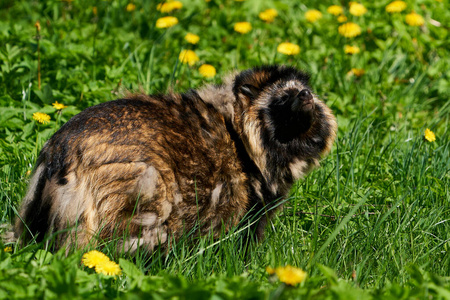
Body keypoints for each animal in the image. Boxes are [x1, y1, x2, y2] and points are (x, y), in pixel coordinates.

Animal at [14, 65, 336, 253]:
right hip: (140, 190)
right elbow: (243, 238)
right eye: (282, 98)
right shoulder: (250, 201)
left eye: (304, 90)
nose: (305, 95)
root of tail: (62, 155)